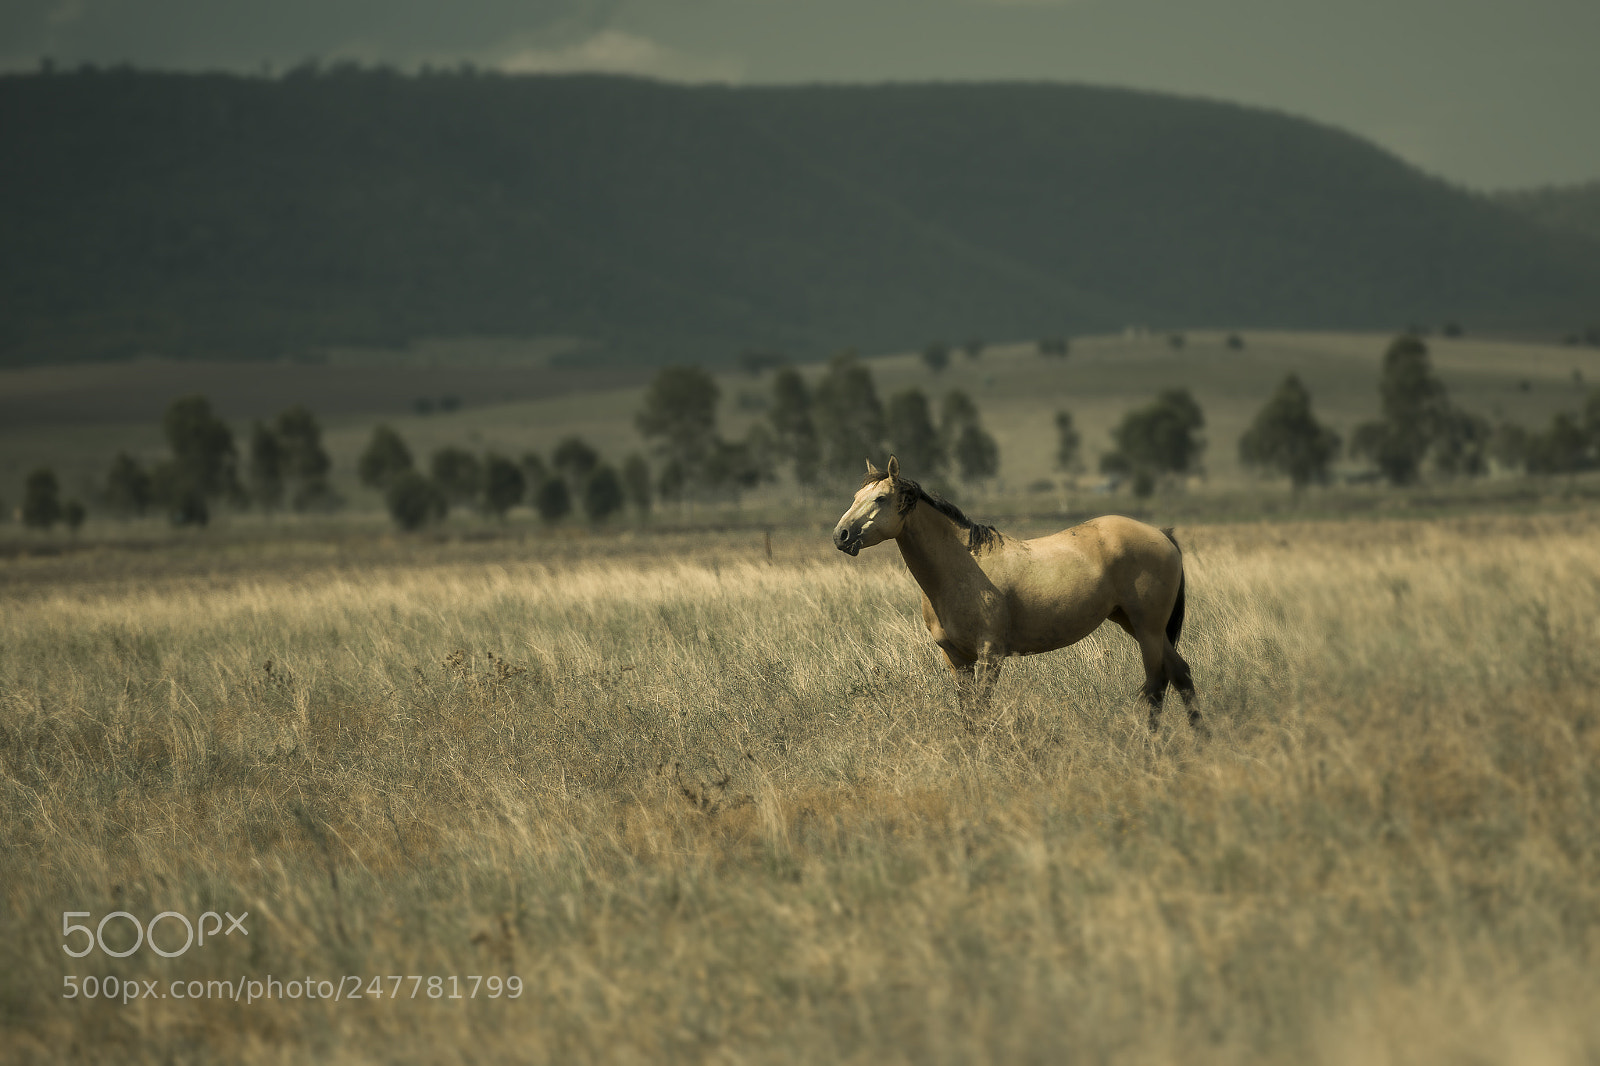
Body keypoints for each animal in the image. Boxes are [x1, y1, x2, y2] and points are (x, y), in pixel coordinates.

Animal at [832, 456, 1199, 731]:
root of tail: (1163, 535)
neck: (961, 568)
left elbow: (981, 710)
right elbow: (969, 715)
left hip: (1148, 629)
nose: (841, 535)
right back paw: (1200, 740)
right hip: (1136, 625)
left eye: (880, 499)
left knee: (1156, 684)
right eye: (854, 498)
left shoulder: (990, 654)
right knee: (1180, 673)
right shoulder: (956, 658)